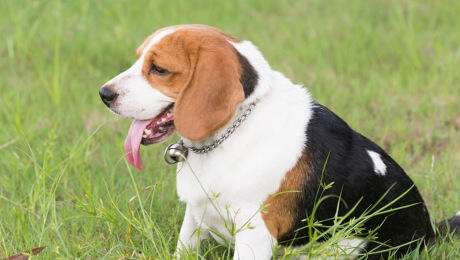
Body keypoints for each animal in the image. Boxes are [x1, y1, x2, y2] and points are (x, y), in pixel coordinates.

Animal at [100, 24, 460, 260]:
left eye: (159, 69)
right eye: (137, 59)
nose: (104, 94)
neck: (234, 130)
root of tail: (430, 231)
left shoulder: (254, 233)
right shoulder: (194, 217)